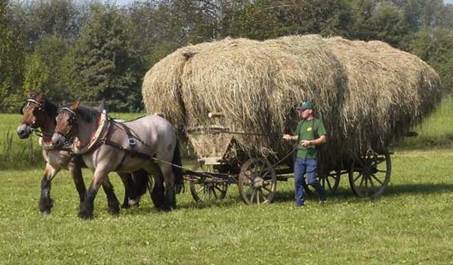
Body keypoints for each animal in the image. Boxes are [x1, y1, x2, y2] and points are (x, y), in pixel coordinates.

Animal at [16, 93, 147, 214]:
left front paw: (83, 207)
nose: (21, 131)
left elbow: (80, 187)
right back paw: (127, 204)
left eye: (35, 110)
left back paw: (129, 203)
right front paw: (45, 207)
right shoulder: (53, 164)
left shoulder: (74, 166)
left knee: (127, 181)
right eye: (24, 110)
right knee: (127, 181)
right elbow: (44, 182)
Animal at [50, 100, 182, 218]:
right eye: (56, 119)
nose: (55, 141)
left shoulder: (103, 166)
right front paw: (113, 208)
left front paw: (84, 213)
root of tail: (166, 123)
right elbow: (107, 187)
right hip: (147, 162)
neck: (100, 137)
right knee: (157, 175)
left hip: (164, 159)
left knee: (169, 179)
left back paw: (169, 204)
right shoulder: (96, 168)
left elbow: (93, 187)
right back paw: (159, 201)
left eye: (69, 120)